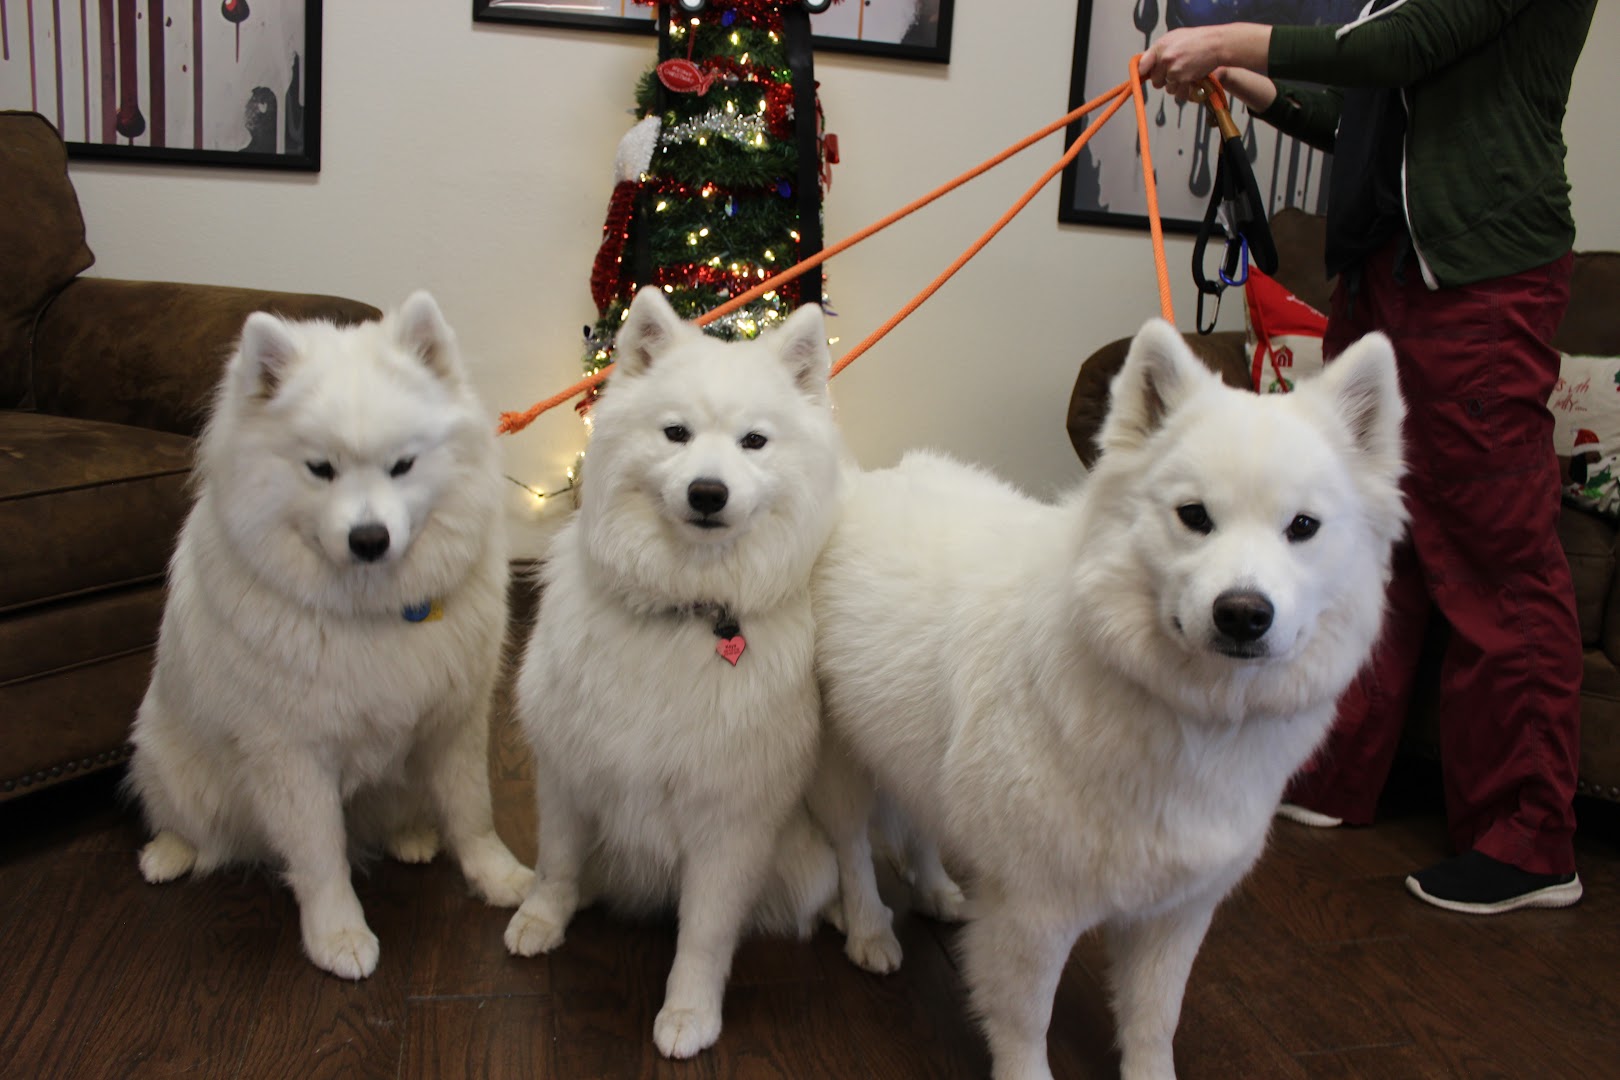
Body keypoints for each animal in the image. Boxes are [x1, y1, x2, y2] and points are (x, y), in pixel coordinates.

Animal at [126, 292, 533, 980]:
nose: (369, 539)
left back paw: (411, 838)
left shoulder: (454, 722)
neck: (373, 610)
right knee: (184, 820)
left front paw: (497, 877)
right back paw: (168, 855)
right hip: (170, 760)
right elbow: (320, 856)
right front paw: (338, 936)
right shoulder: (292, 755)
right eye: (321, 469)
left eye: (402, 466)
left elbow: (473, 811)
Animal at [503, 287, 843, 1059]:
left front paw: (689, 1013)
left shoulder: (729, 821)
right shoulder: (568, 771)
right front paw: (541, 918)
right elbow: (558, 862)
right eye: (676, 434)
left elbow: (706, 934)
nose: (708, 492)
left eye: (754, 442)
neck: (686, 608)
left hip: (807, 864)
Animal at [810, 319, 1406, 1080]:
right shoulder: (1033, 913)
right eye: (1194, 517)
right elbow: (1025, 1026)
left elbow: (1154, 1021)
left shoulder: (1175, 914)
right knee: (853, 849)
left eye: (1303, 527)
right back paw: (867, 931)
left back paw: (935, 888)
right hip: (842, 767)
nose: (1243, 613)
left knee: (916, 821)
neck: (1190, 718)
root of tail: (864, 484)